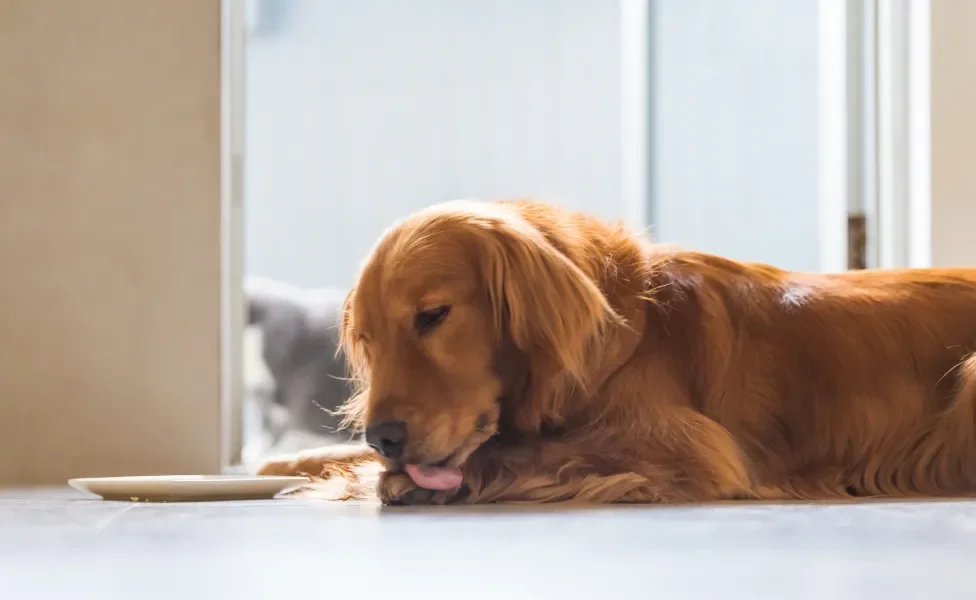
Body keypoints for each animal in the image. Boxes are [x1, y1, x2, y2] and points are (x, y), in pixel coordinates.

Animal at [258, 199, 976, 504]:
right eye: (367, 340)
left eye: (432, 316)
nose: (384, 436)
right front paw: (291, 462)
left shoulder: (690, 445)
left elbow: (535, 450)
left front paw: (403, 481)